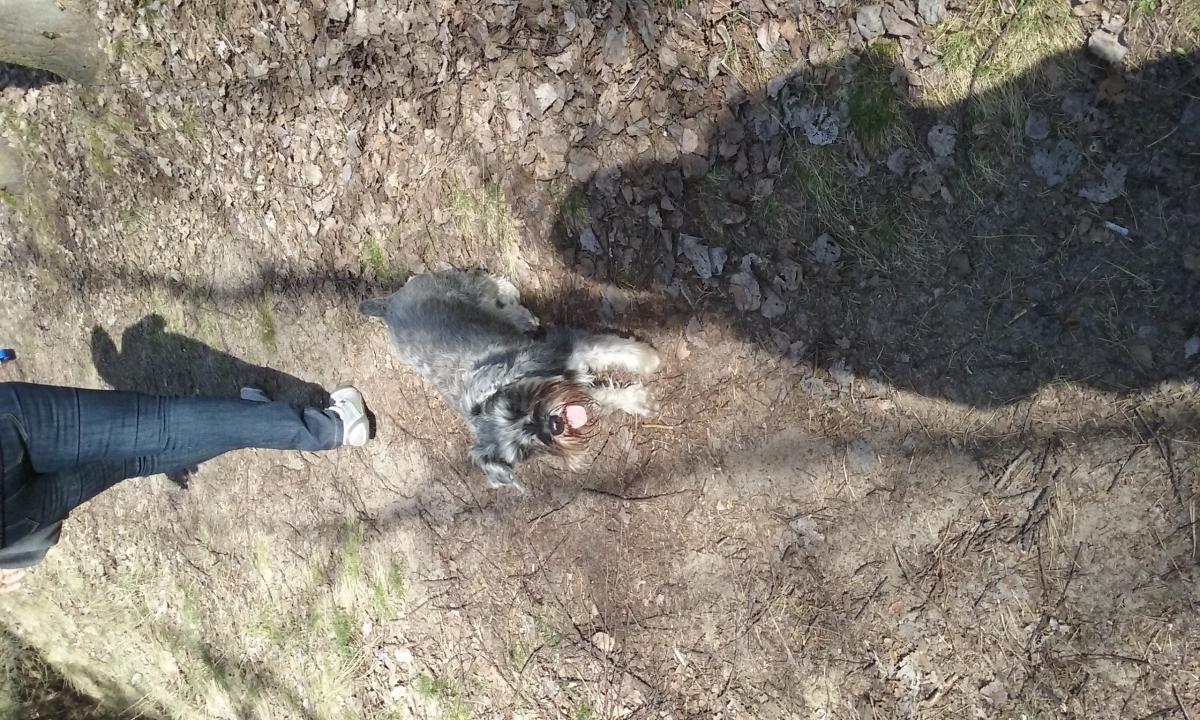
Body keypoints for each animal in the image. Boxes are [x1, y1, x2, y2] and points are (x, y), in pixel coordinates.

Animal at [359, 269, 662, 488]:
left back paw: (512, 300)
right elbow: (600, 395)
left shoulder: (569, 348)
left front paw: (649, 358)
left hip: (457, 287)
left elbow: (614, 349)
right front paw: (637, 400)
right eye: (524, 451)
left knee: (485, 284)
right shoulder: (568, 382)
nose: (554, 426)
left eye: (515, 407)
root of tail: (388, 306)